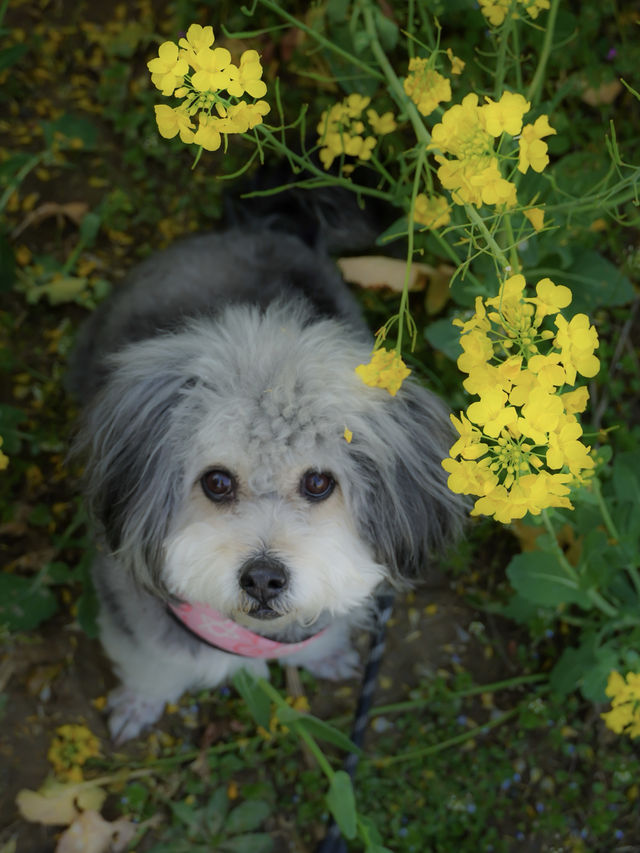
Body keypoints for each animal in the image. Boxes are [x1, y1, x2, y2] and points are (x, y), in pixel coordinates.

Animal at [67, 193, 462, 740]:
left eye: (318, 482)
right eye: (216, 481)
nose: (262, 579)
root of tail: (263, 223)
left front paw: (324, 655)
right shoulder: (129, 599)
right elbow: (153, 661)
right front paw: (140, 703)